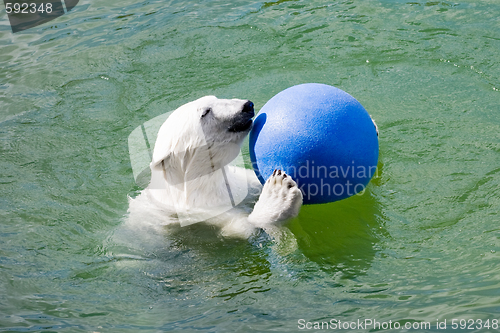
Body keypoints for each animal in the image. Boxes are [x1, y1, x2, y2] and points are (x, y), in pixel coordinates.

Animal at [125, 94, 302, 237]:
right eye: (205, 112)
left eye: (215, 98)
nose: (247, 105)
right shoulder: (202, 211)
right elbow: (241, 228)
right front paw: (279, 191)